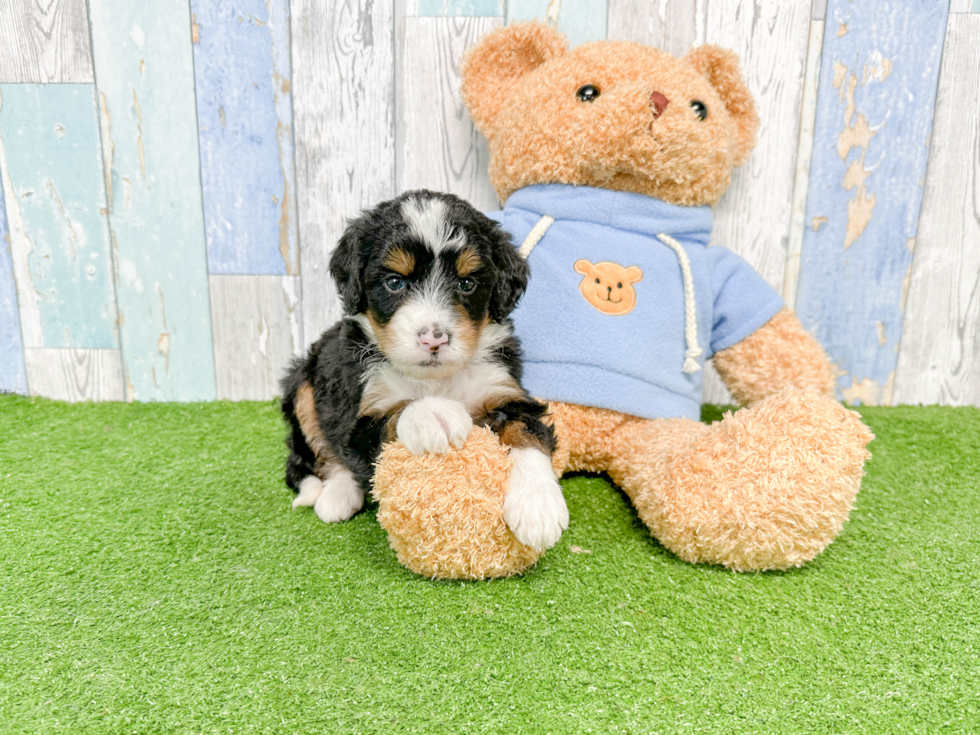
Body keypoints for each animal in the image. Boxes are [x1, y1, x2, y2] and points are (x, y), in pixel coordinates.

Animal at [278, 190, 568, 552]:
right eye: (394, 282)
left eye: (467, 284)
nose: (434, 338)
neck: (436, 379)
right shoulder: (363, 410)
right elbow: (396, 411)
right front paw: (432, 413)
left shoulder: (504, 389)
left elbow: (528, 431)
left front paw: (538, 504)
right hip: (303, 382)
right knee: (315, 453)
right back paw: (337, 495)